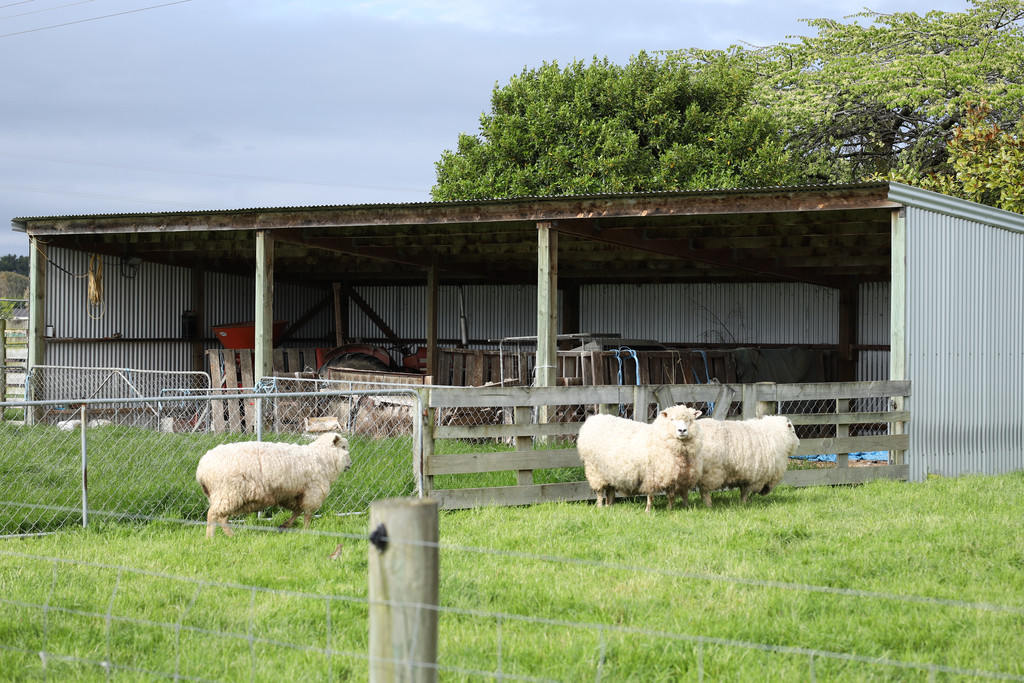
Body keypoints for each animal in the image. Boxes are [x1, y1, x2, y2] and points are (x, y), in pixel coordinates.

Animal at [194, 432, 352, 540]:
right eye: (344, 447)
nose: (350, 465)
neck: (322, 458)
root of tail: (202, 468)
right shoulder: (312, 492)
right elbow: (307, 514)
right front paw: (306, 531)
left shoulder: (292, 494)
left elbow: (298, 511)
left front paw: (284, 525)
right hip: (228, 492)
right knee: (213, 514)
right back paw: (210, 538)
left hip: (223, 495)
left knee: (222, 518)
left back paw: (231, 535)